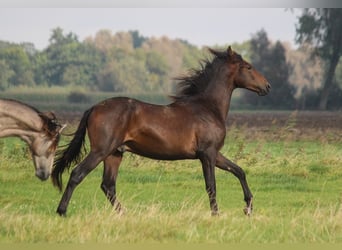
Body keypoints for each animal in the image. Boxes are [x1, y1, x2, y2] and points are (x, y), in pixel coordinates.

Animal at [51, 47, 270, 217]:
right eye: (248, 67)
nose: (267, 86)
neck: (207, 108)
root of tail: (94, 107)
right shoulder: (207, 154)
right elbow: (211, 185)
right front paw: (216, 214)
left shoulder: (214, 153)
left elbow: (239, 171)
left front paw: (248, 207)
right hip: (100, 151)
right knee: (78, 174)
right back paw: (62, 211)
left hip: (114, 154)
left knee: (108, 185)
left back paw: (125, 214)